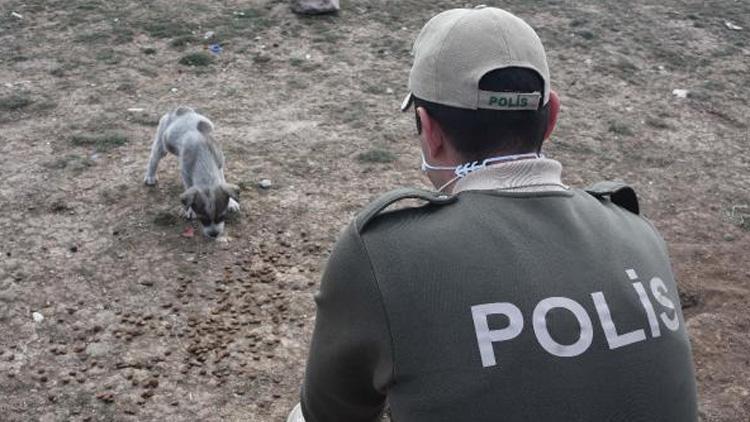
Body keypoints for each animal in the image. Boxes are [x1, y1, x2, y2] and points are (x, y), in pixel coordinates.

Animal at [145, 106, 241, 237]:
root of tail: (180, 109)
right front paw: (190, 210)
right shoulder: (186, 173)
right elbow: (189, 187)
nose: (214, 234)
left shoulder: (220, 164)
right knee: (153, 158)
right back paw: (150, 176)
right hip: (162, 145)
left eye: (222, 216)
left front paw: (231, 202)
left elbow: (223, 182)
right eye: (203, 219)